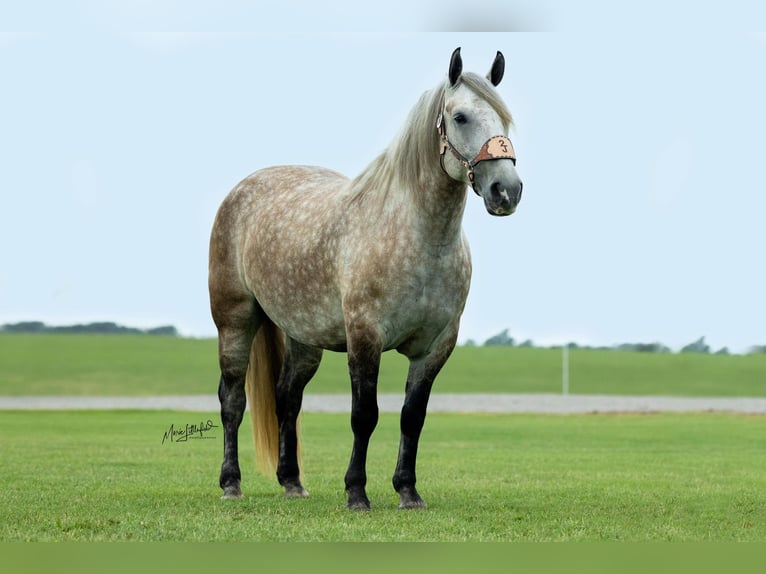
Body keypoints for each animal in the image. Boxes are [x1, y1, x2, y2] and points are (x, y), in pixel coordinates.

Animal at [208, 47, 520, 510]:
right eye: (461, 116)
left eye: (504, 119)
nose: (506, 190)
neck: (418, 237)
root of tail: (242, 191)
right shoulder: (365, 338)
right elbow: (364, 416)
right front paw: (357, 492)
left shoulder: (435, 347)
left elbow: (412, 418)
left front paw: (408, 491)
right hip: (235, 322)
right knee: (232, 399)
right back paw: (231, 483)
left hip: (303, 338)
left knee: (287, 400)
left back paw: (292, 482)